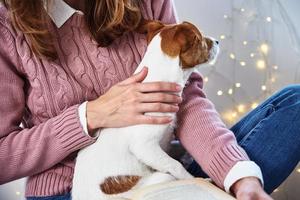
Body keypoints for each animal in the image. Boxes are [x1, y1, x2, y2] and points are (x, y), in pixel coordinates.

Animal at [71, 19, 219, 200]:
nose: (218, 41)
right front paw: (196, 179)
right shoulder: (145, 147)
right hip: (159, 178)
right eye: (202, 40)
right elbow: (175, 165)